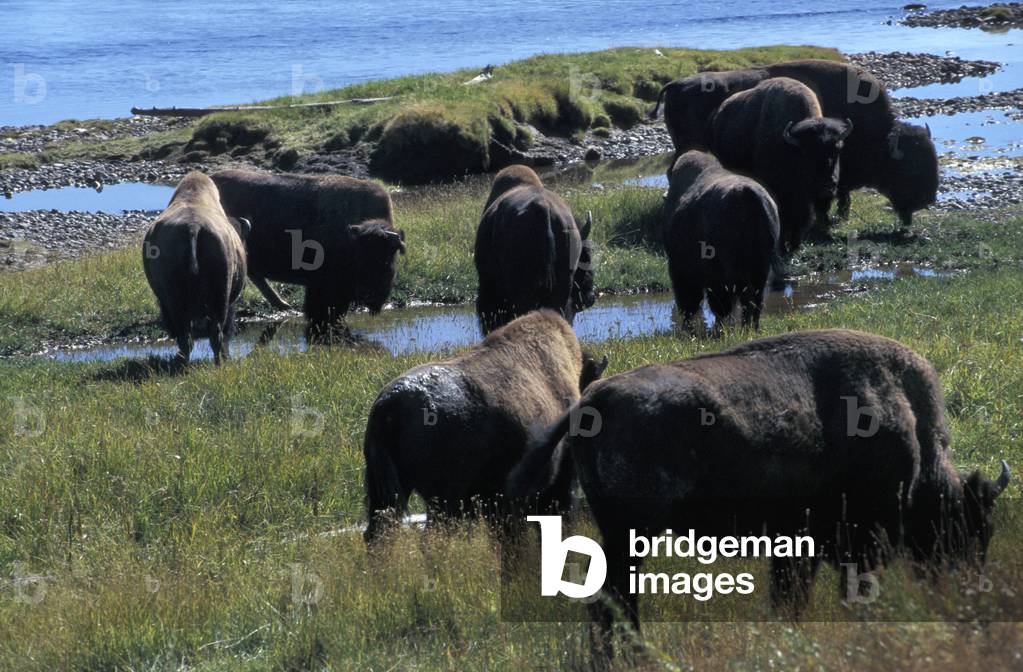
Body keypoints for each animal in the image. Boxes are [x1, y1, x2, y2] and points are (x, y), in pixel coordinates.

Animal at [509, 329, 1010, 657]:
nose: (969, 596)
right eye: (970, 526)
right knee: (615, 599)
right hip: (631, 536)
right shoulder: (858, 546)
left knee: (609, 601)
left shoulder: (797, 549)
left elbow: (789, 599)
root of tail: (590, 400)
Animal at [709, 78, 852, 251]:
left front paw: (796, 244)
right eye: (806, 154)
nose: (827, 187)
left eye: (837, 150)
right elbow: (786, 217)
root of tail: (720, 112)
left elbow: (802, 217)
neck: (791, 148)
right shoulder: (783, 192)